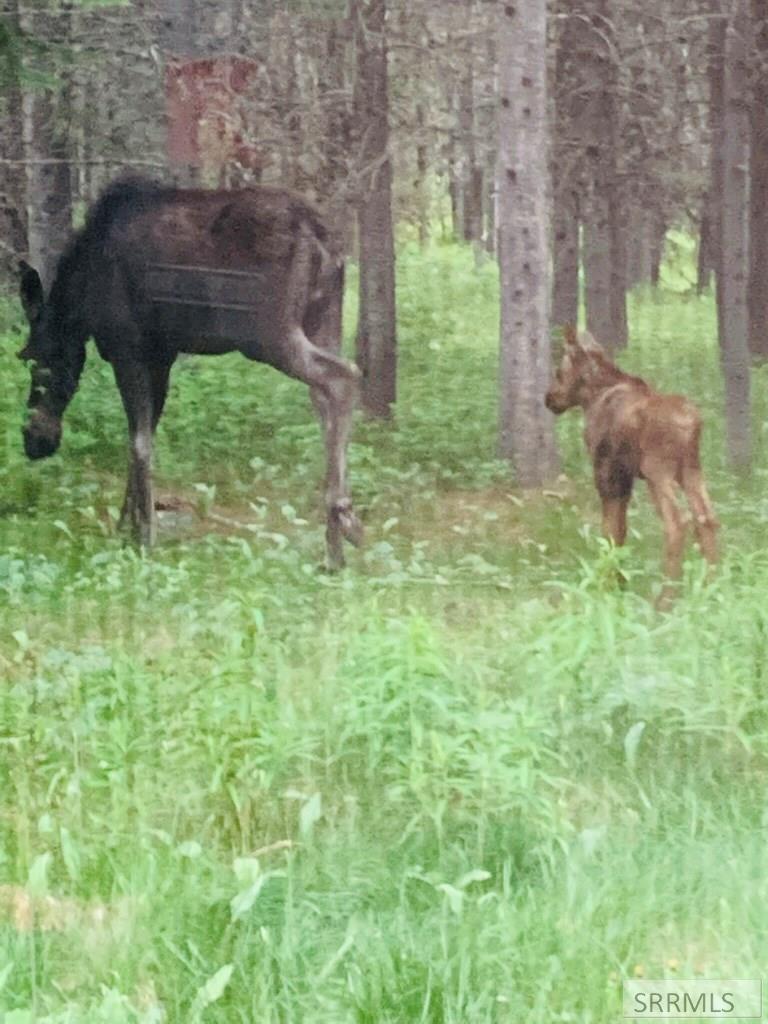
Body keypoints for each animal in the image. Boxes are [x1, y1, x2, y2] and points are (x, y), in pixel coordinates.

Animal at [17, 176, 364, 569]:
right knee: (324, 398)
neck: (81, 302)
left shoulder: (128, 347)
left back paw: (342, 518)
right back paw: (338, 540)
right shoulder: (161, 355)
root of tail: (326, 241)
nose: (33, 440)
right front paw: (126, 527)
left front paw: (143, 538)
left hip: (269, 333)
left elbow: (139, 442)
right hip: (324, 317)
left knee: (343, 377)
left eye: (31, 358)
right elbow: (143, 437)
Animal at [544, 327, 720, 585]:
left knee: (677, 522)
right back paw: (710, 585)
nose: (549, 398)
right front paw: (620, 580)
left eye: (558, 371)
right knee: (707, 518)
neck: (592, 397)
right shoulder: (625, 475)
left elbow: (609, 530)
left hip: (657, 470)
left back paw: (667, 592)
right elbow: (621, 530)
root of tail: (692, 425)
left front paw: (606, 583)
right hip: (691, 469)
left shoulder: (605, 468)